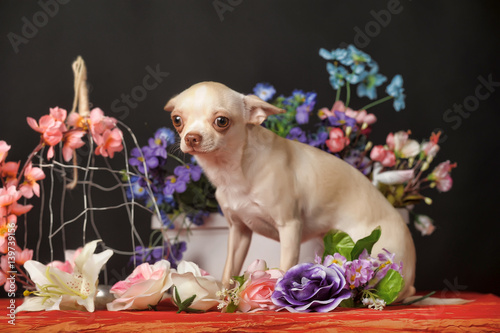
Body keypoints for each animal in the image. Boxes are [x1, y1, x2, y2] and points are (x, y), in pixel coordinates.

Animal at [166, 81, 416, 300]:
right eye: (177, 120)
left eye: (221, 121)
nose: (191, 137)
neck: (234, 170)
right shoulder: (239, 231)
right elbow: (229, 269)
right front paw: (225, 300)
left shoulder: (289, 227)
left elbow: (285, 268)